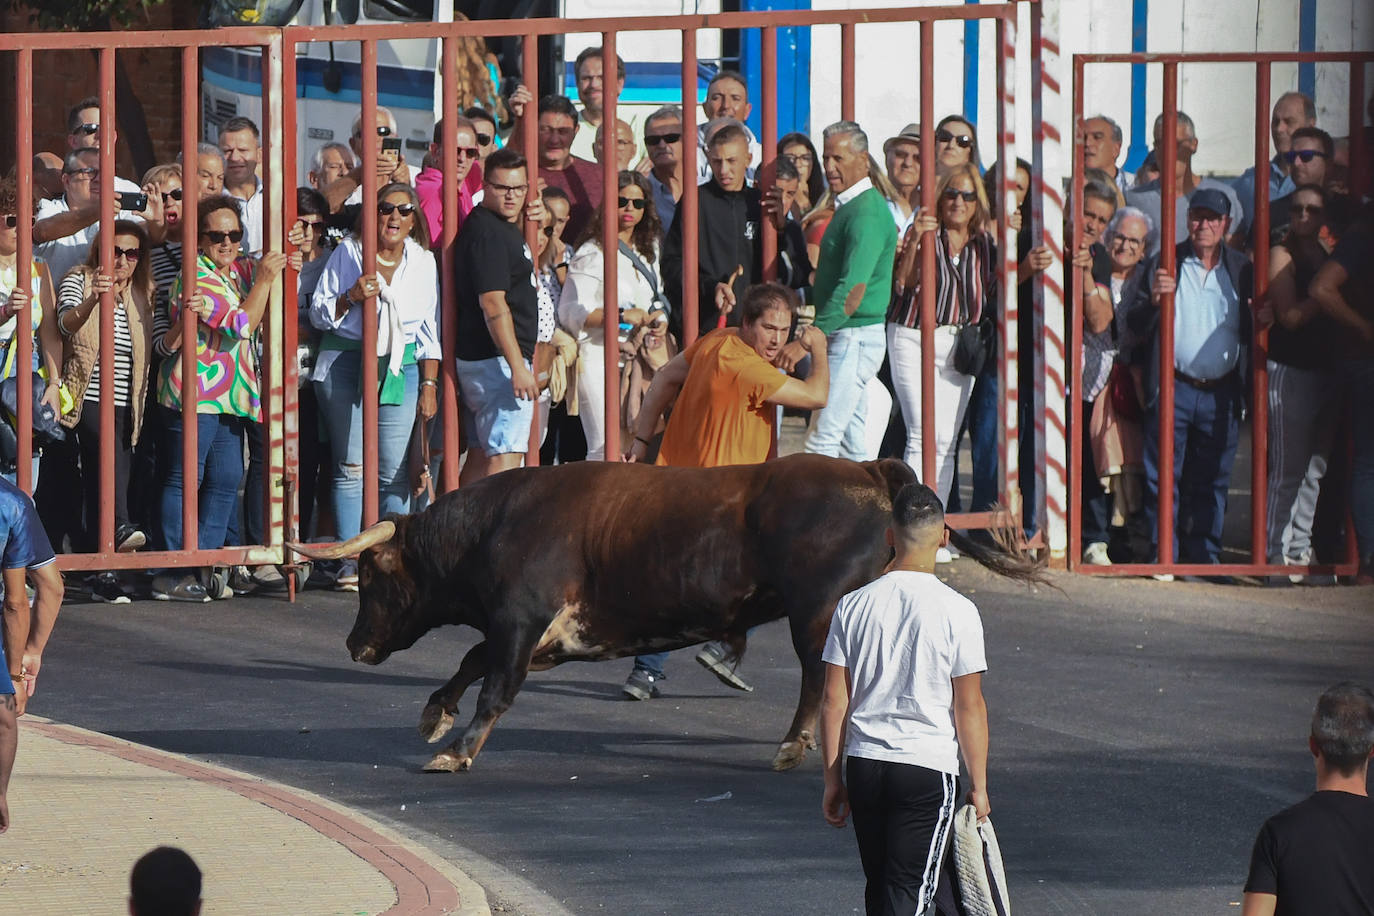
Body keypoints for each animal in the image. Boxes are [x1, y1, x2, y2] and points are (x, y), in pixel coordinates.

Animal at [292, 455, 1038, 780]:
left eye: (374, 579)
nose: (355, 645)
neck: (499, 522)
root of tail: (865, 468)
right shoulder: (543, 634)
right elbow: (473, 662)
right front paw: (435, 713)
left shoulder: (520, 621)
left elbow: (493, 684)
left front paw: (456, 748)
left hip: (818, 615)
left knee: (818, 681)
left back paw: (794, 745)